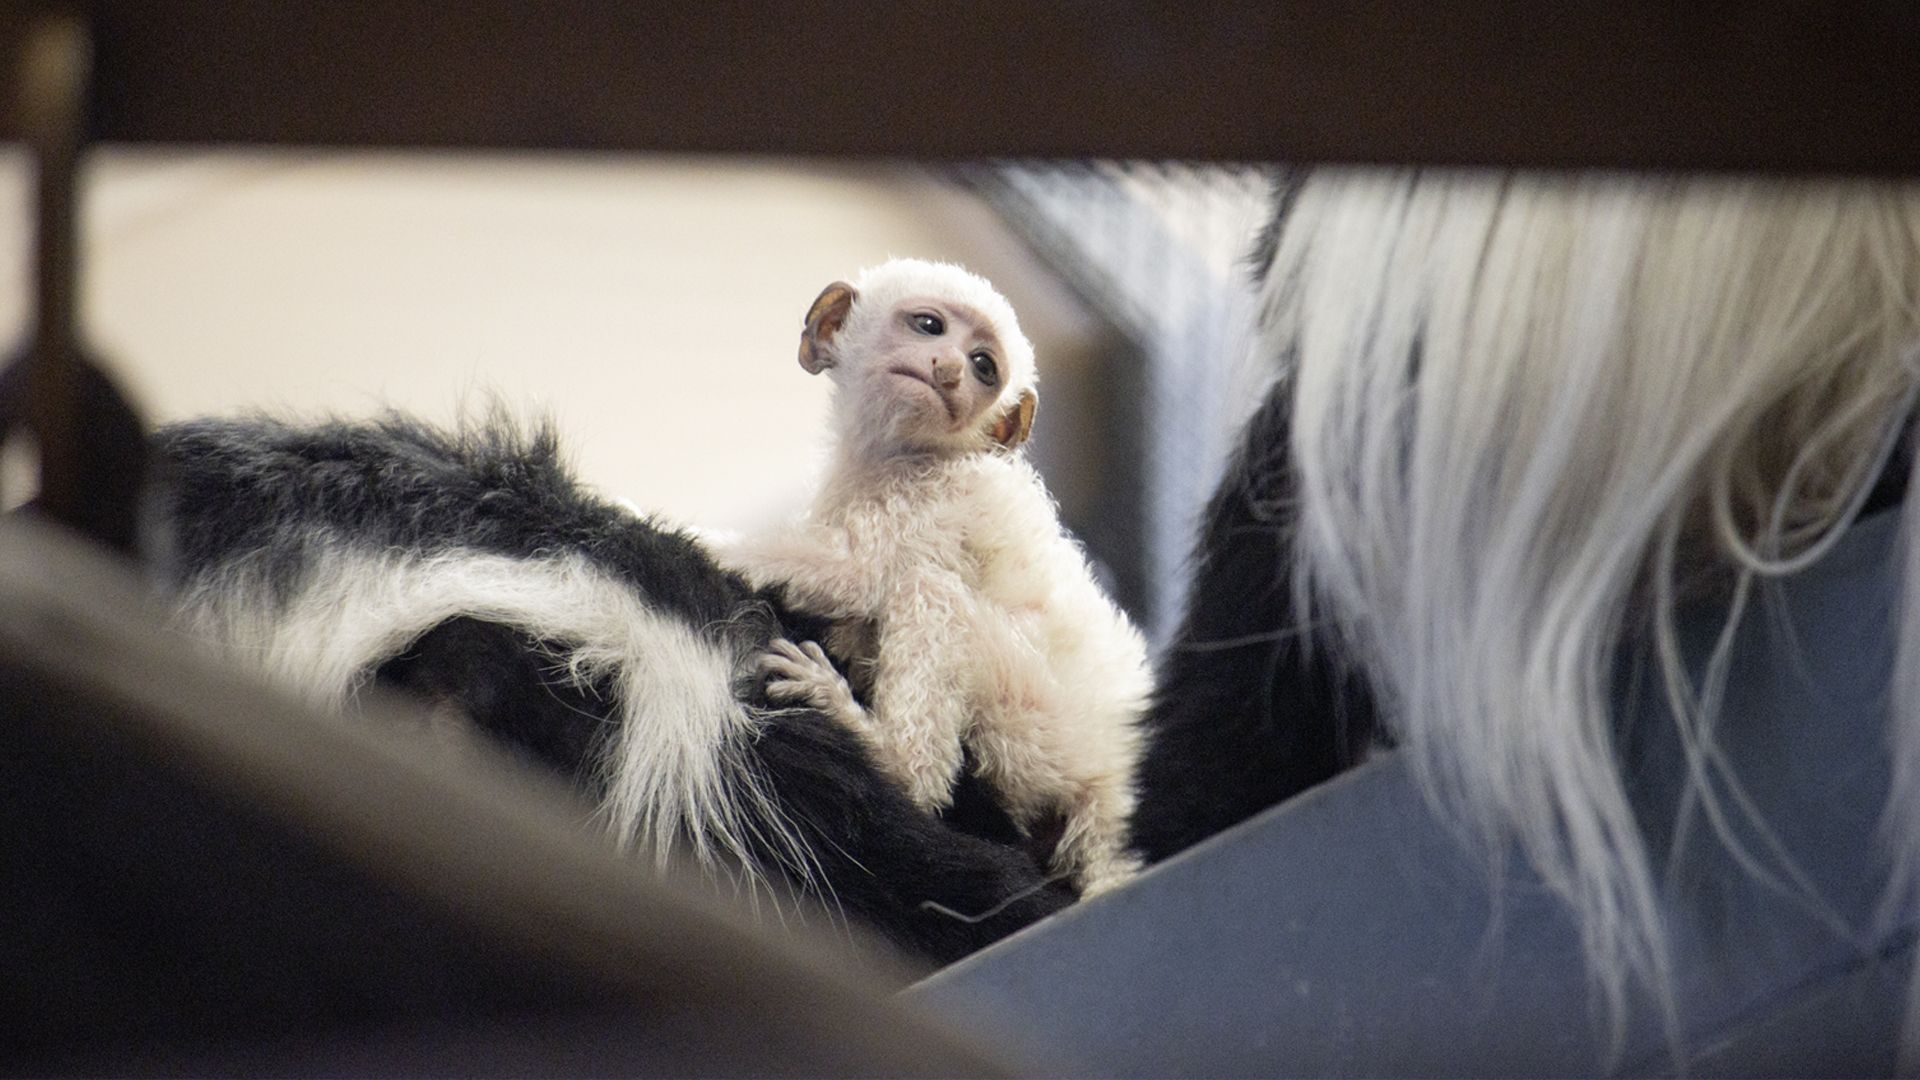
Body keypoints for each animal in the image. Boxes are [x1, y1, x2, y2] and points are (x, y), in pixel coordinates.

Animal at [717, 258, 1152, 897]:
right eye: (929, 327)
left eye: (983, 366)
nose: (948, 369)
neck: (901, 458)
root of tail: (1110, 780)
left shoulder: (934, 494)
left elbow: (862, 576)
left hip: (1037, 722)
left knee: (928, 590)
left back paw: (891, 758)